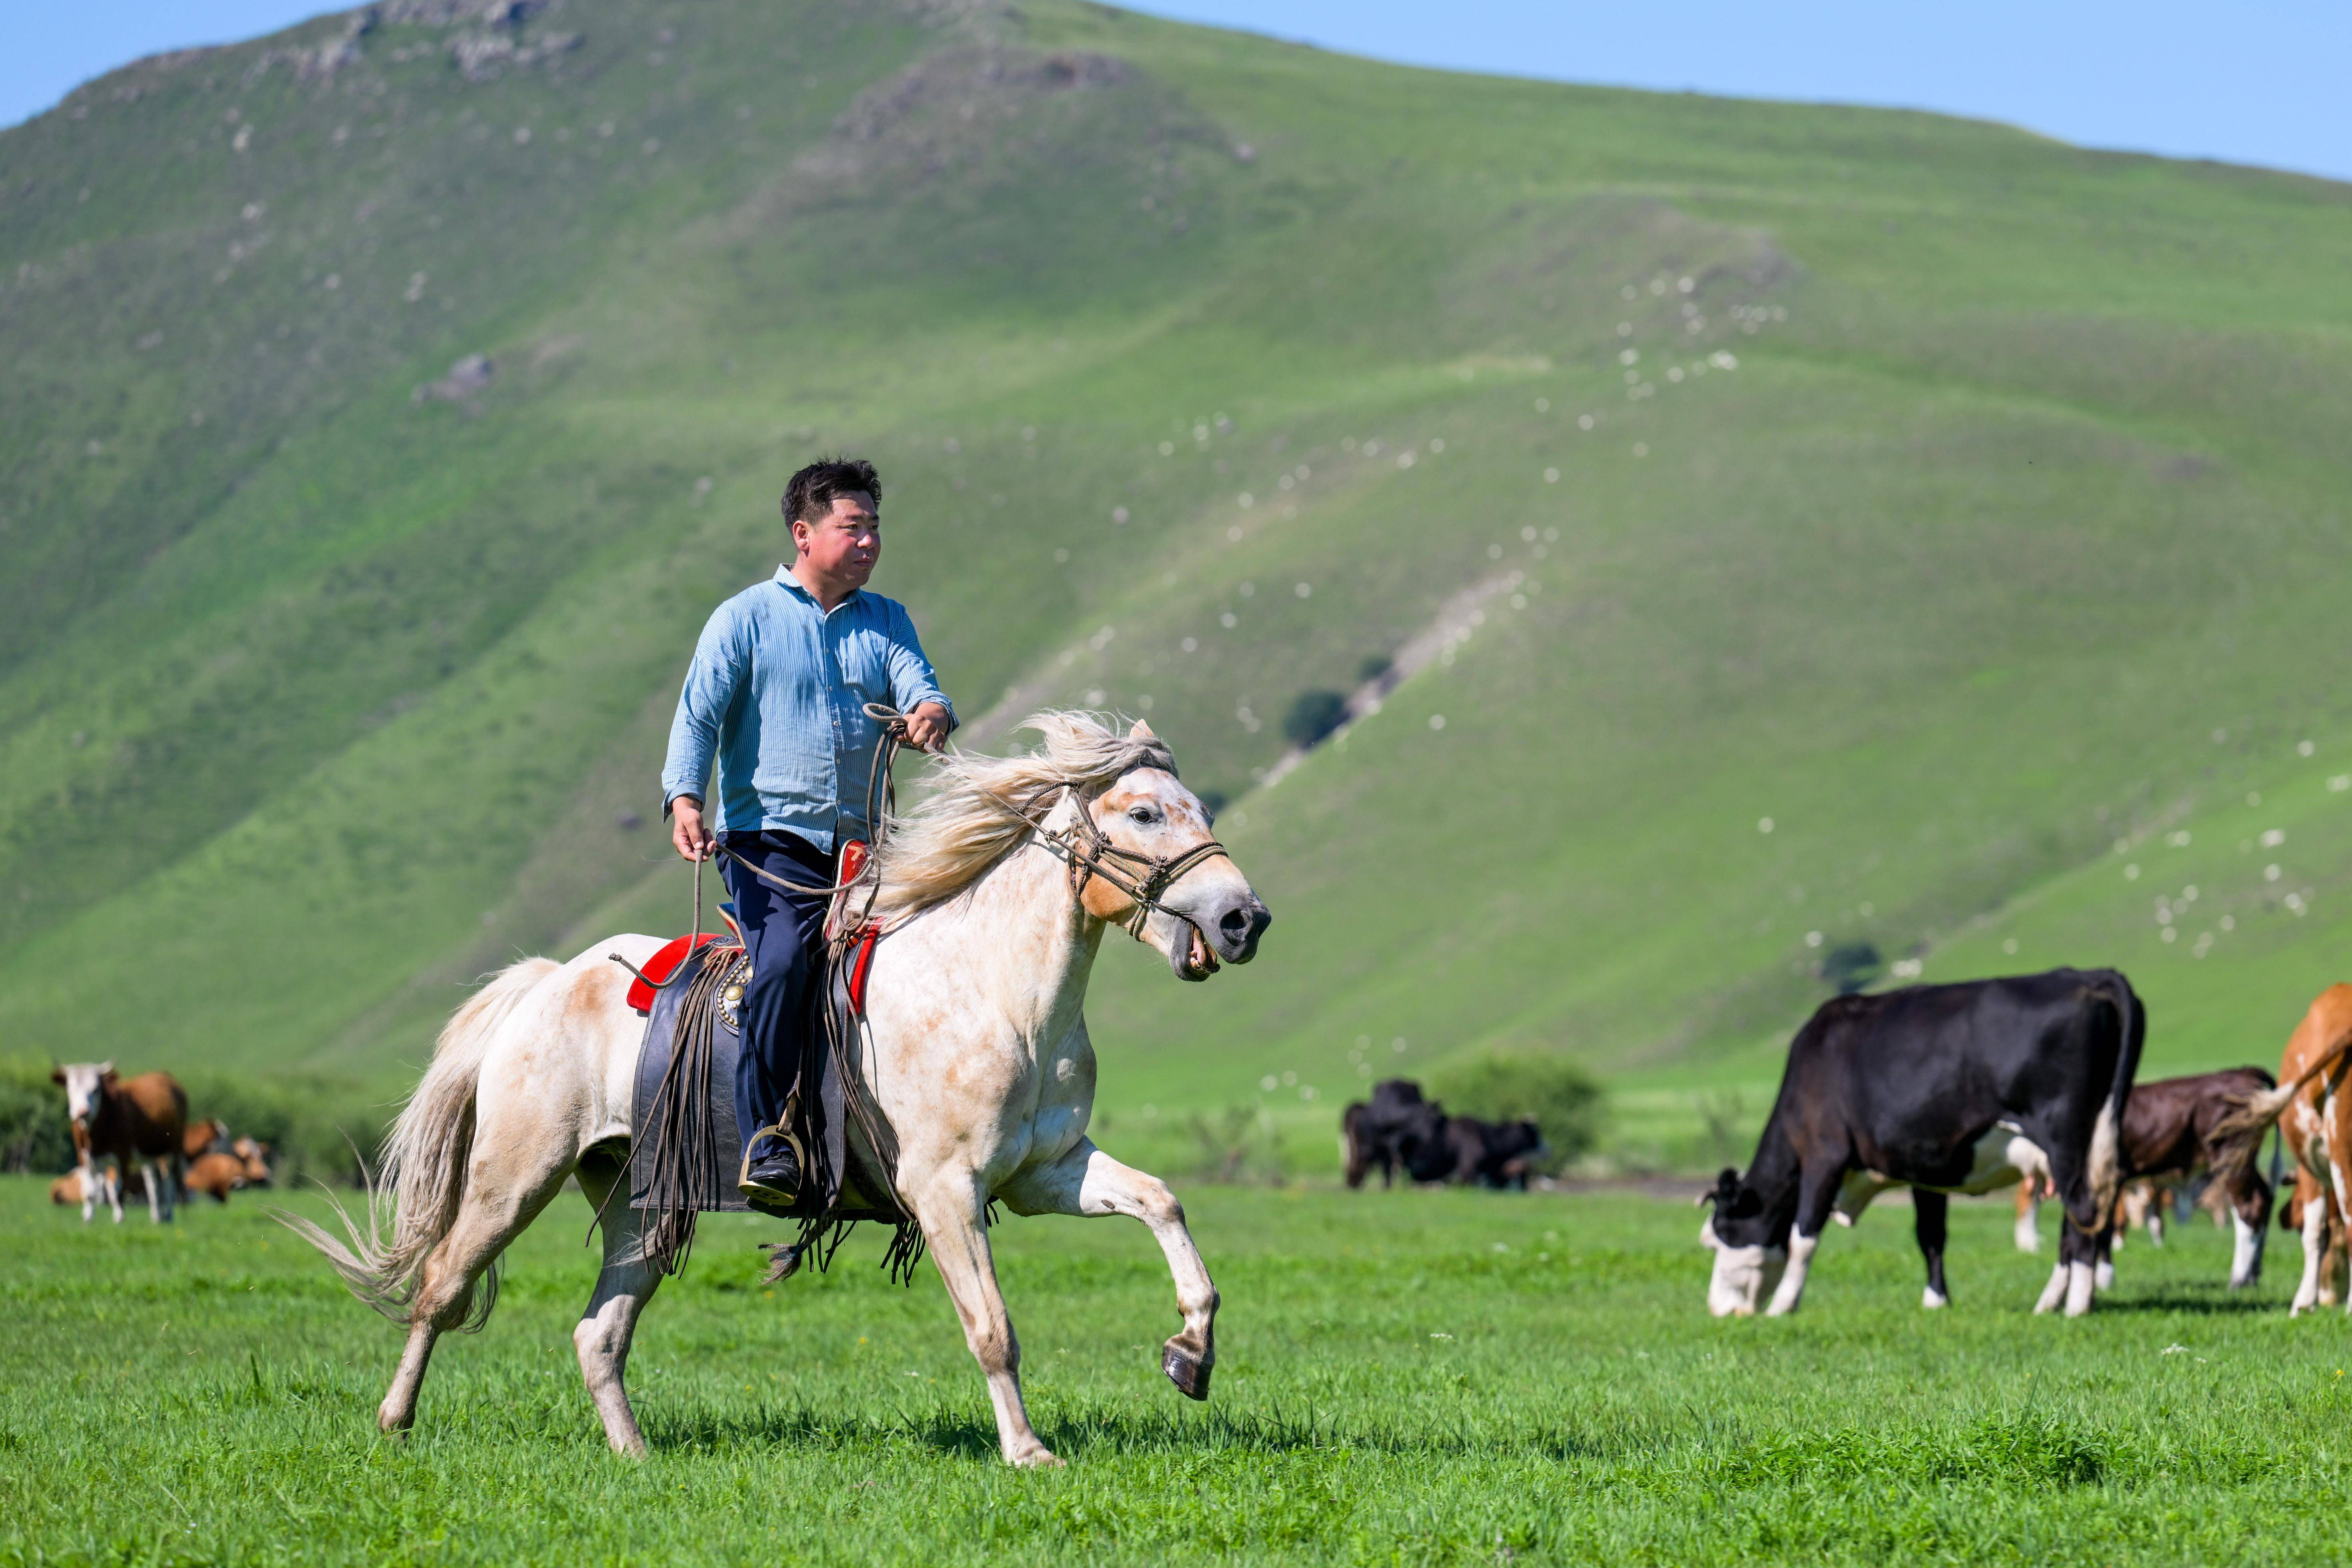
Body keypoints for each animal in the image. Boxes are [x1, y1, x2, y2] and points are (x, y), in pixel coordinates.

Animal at [51, 1067, 188, 1222]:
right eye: (70, 1089)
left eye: (96, 1089)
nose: (83, 1112)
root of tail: (164, 1075)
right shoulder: (84, 1156)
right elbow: (89, 1191)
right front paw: (88, 1217)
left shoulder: (123, 1156)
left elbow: (118, 1188)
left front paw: (119, 1217)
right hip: (149, 1154)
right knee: (153, 1182)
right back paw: (157, 1216)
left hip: (173, 1151)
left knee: (169, 1181)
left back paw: (169, 1215)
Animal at [292, 714, 1270, 1476]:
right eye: (1142, 811)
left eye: (1198, 808)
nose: (1242, 919)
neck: (997, 993)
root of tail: (544, 981)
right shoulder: (945, 1189)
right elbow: (992, 1325)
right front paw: (1028, 1451)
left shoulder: (1045, 1174)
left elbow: (1163, 1202)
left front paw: (1190, 1353)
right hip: (513, 1177)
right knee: (442, 1287)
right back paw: (394, 1422)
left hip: (638, 1202)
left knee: (596, 1334)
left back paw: (635, 1455)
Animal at [1703, 968, 2145, 1326]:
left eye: (1720, 1234)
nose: (1716, 1308)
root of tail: (2089, 976)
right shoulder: (1924, 1163)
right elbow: (1930, 1235)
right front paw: (1936, 1300)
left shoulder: (1823, 1156)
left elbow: (1802, 1237)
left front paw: (1783, 1305)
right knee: (2078, 1224)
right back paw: (2050, 1302)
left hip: (2064, 1140)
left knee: (2082, 1215)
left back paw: (2076, 1306)